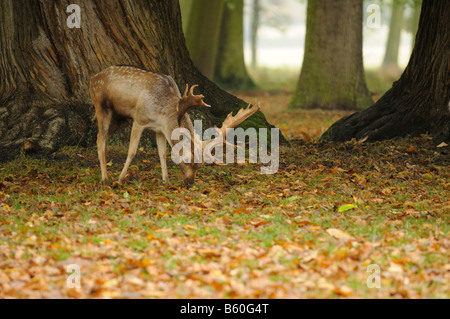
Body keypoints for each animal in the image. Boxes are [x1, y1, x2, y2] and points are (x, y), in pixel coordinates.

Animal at [89, 66, 258, 189]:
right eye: (187, 159)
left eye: (200, 165)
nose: (189, 183)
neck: (163, 112)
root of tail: (93, 78)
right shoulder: (139, 119)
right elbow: (132, 151)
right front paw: (120, 179)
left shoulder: (159, 130)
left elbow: (163, 153)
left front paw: (166, 181)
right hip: (101, 106)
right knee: (99, 139)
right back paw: (105, 179)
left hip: (119, 117)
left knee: (102, 139)